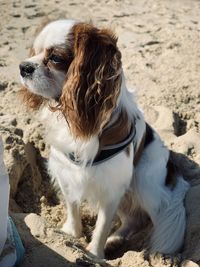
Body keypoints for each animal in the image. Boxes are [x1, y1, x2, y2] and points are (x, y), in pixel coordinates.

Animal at [19, 20, 189, 260]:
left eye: (55, 58)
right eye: (34, 52)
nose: (23, 67)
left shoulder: (112, 187)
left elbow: (102, 225)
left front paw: (95, 254)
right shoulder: (66, 173)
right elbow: (72, 207)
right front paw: (71, 234)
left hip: (146, 183)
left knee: (155, 217)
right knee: (134, 219)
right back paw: (116, 239)